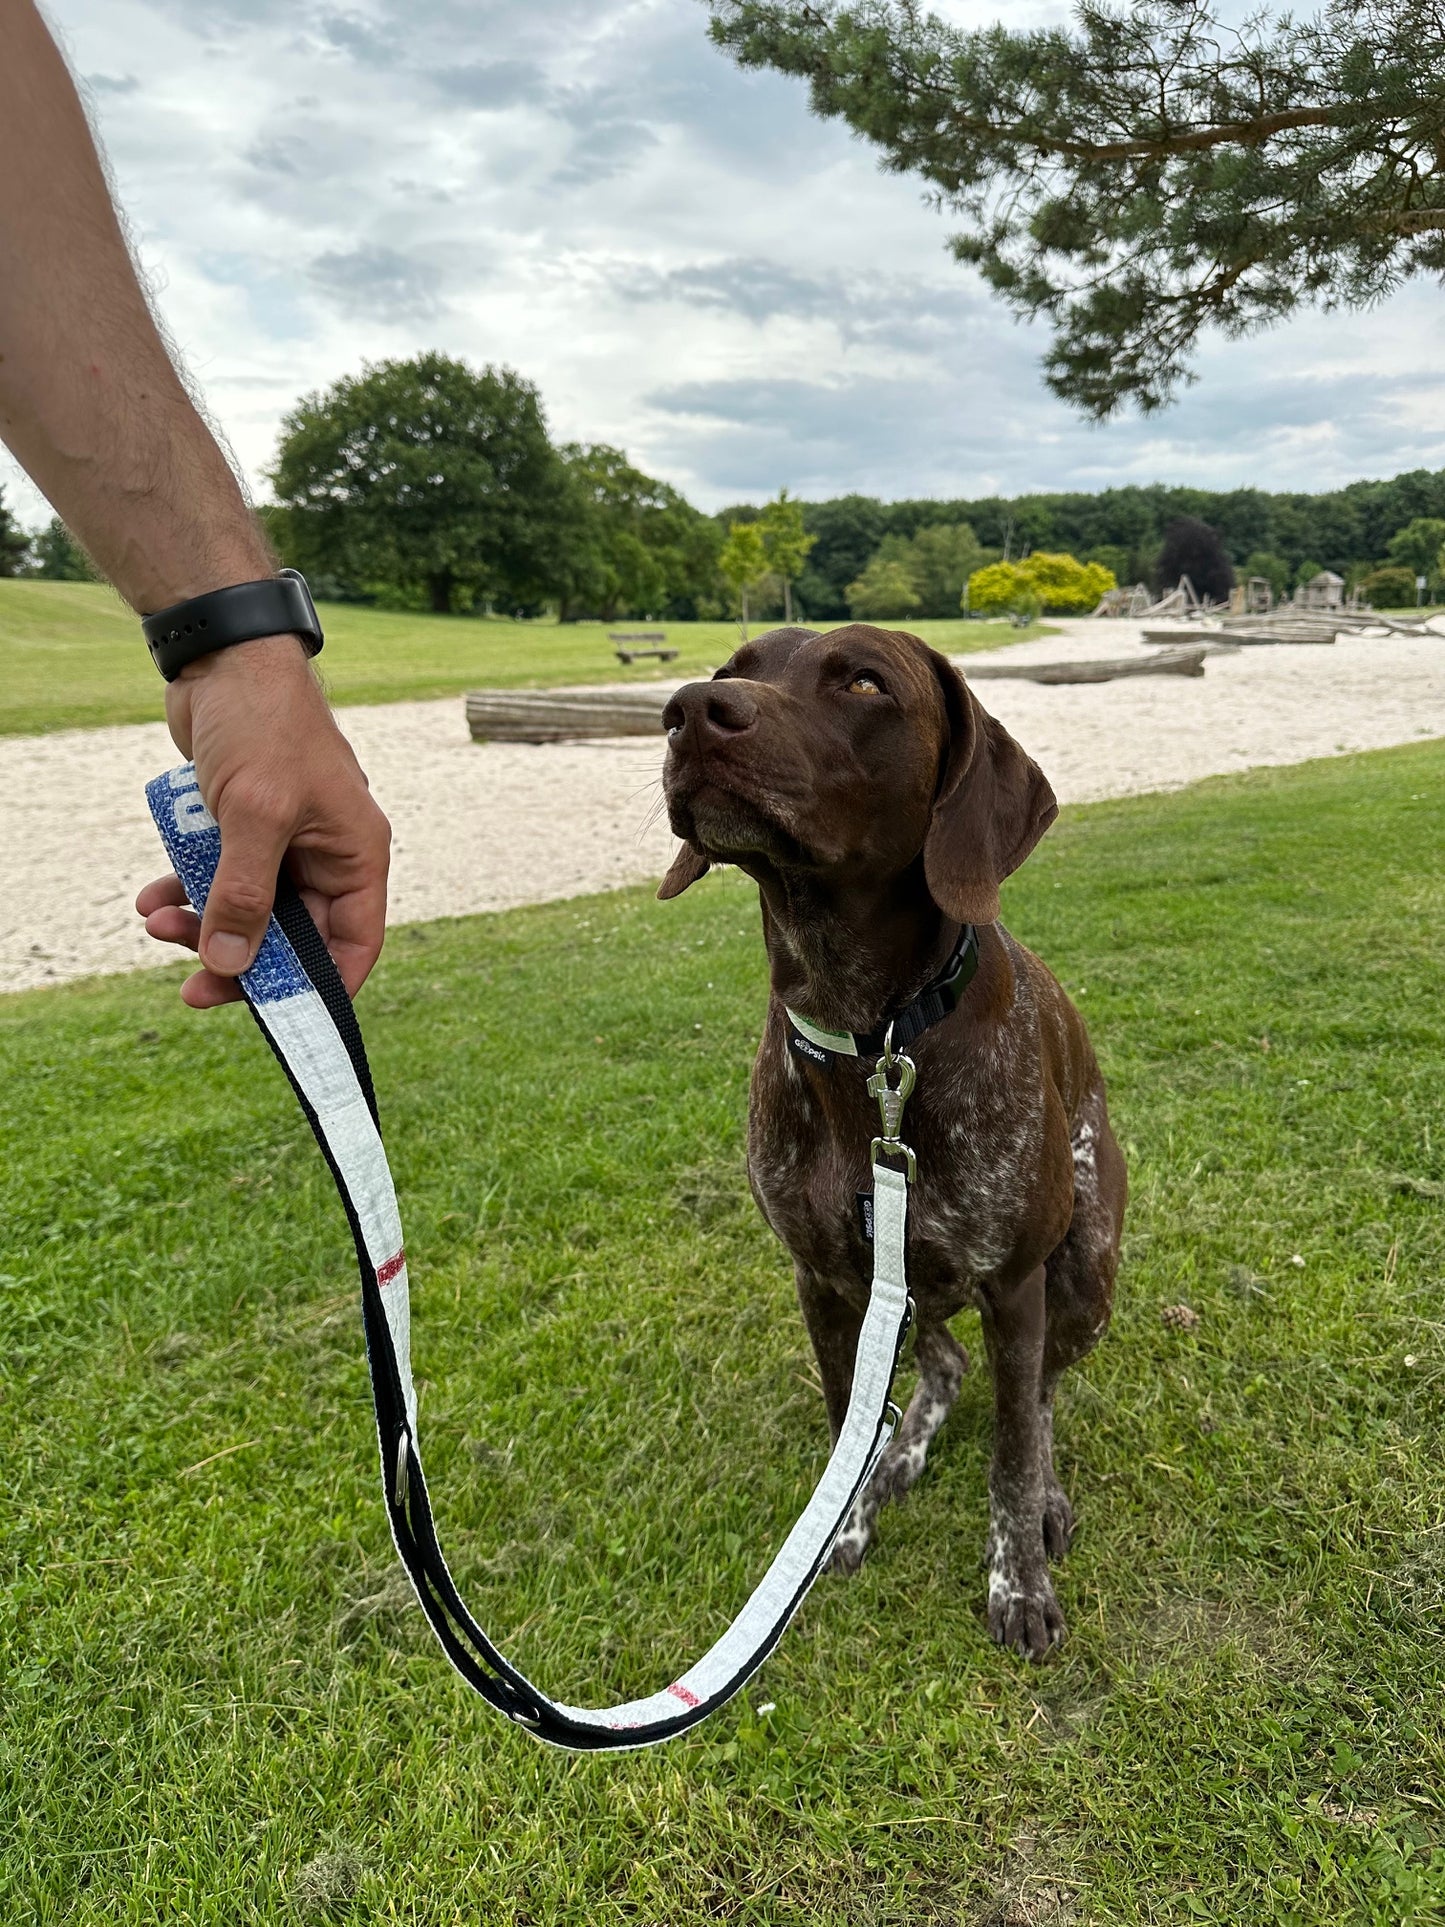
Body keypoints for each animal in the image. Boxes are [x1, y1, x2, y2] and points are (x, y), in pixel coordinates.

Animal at [658, 628, 1132, 1657]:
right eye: (730, 671)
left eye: (866, 682)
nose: (688, 711)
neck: (868, 1037)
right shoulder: (824, 1278)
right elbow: (847, 1416)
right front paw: (841, 1521)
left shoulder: (1014, 1284)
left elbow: (1011, 1449)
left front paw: (1015, 1580)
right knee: (944, 1365)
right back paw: (899, 1452)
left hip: (1084, 1270)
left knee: (1037, 1394)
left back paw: (1040, 1495)